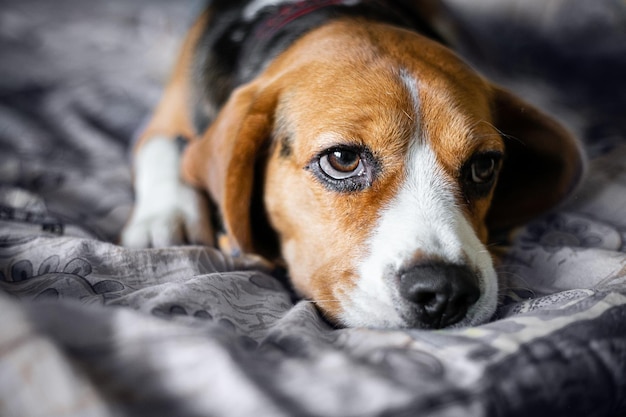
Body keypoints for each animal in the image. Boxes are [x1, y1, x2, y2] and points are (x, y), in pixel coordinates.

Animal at [120, 0, 580, 328]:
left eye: (484, 166)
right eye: (342, 160)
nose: (446, 292)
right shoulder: (162, 121)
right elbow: (164, 148)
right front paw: (168, 217)